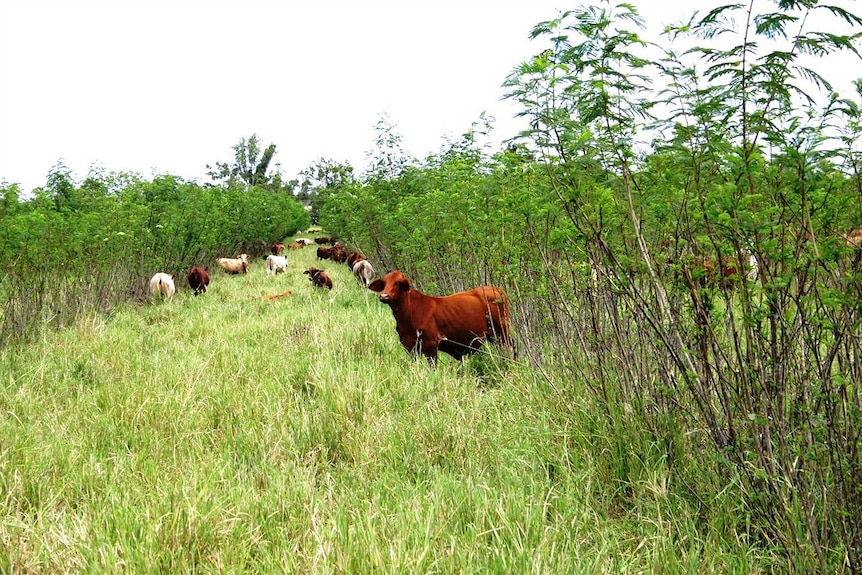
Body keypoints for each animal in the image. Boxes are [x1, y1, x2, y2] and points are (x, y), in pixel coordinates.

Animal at [366, 272, 512, 362]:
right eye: (384, 283)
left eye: (398, 283)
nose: (384, 296)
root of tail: (496, 289)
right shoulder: (410, 347)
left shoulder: (431, 345)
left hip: (501, 332)